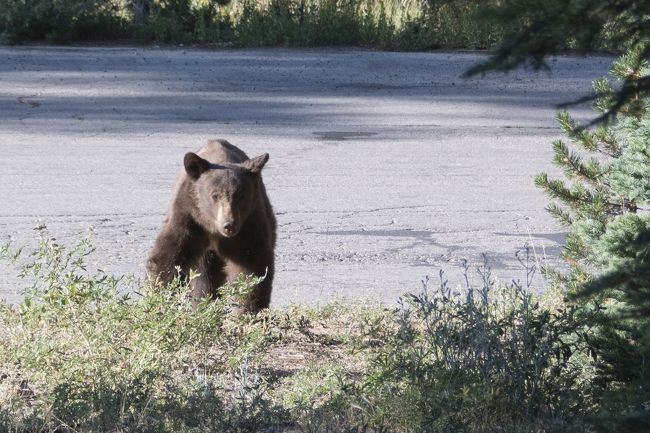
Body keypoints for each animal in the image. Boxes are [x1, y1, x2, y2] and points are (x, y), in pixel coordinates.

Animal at [146, 138, 274, 310]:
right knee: (204, 277)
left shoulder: (249, 224)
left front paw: (246, 309)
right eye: (215, 195)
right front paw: (160, 299)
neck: (213, 228)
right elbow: (167, 259)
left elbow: (253, 264)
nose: (229, 225)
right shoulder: (189, 219)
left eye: (241, 196)